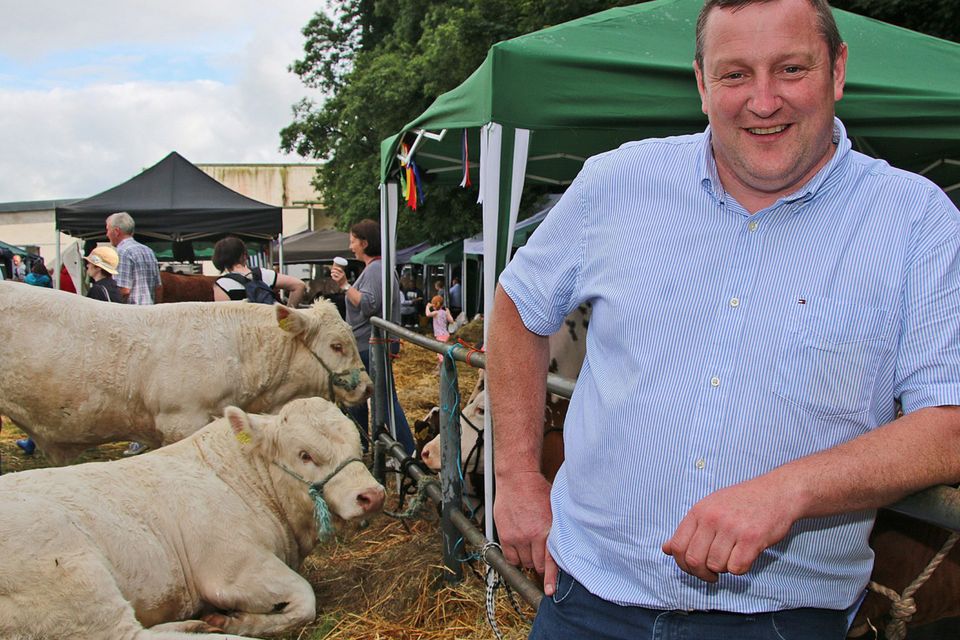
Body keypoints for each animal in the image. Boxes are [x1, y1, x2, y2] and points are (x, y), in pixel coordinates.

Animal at [0, 398, 382, 636]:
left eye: (357, 444)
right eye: (305, 454)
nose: (372, 495)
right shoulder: (231, 570)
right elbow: (305, 598)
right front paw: (238, 621)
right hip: (79, 582)